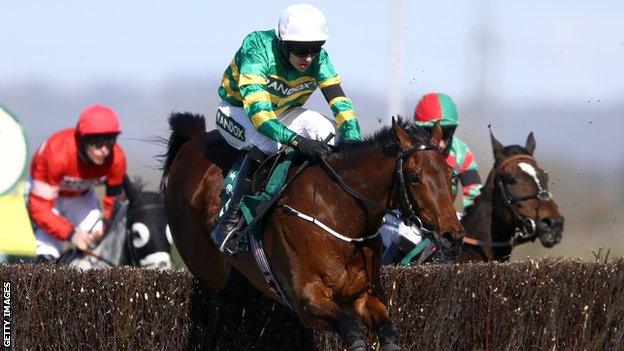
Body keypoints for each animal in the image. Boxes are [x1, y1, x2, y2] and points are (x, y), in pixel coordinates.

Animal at [161, 113, 464, 351]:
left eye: (450, 176)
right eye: (414, 177)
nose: (453, 235)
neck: (336, 210)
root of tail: (193, 142)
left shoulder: (363, 296)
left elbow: (389, 330)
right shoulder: (307, 299)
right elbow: (352, 329)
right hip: (207, 267)